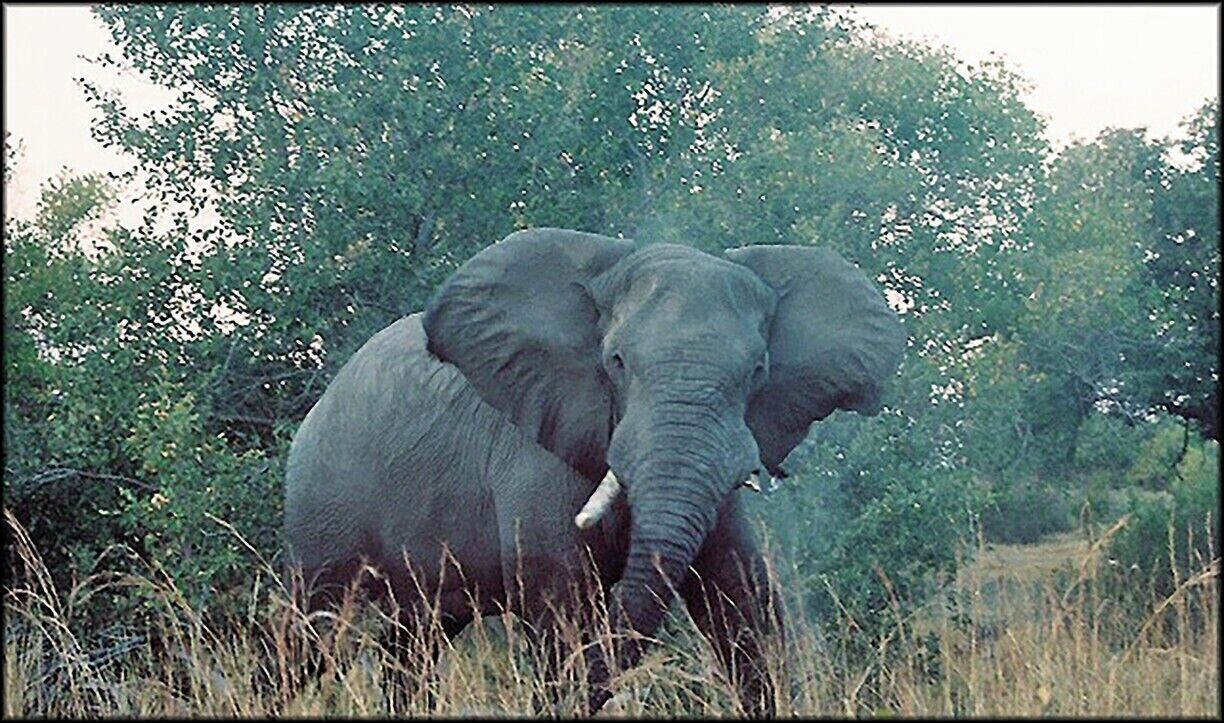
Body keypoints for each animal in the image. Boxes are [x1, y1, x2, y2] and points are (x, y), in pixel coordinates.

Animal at [283, 227, 904, 714]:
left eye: (757, 371)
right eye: (617, 362)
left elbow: (744, 607)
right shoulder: (534, 461)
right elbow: (568, 615)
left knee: (412, 640)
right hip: (324, 497)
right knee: (310, 628)